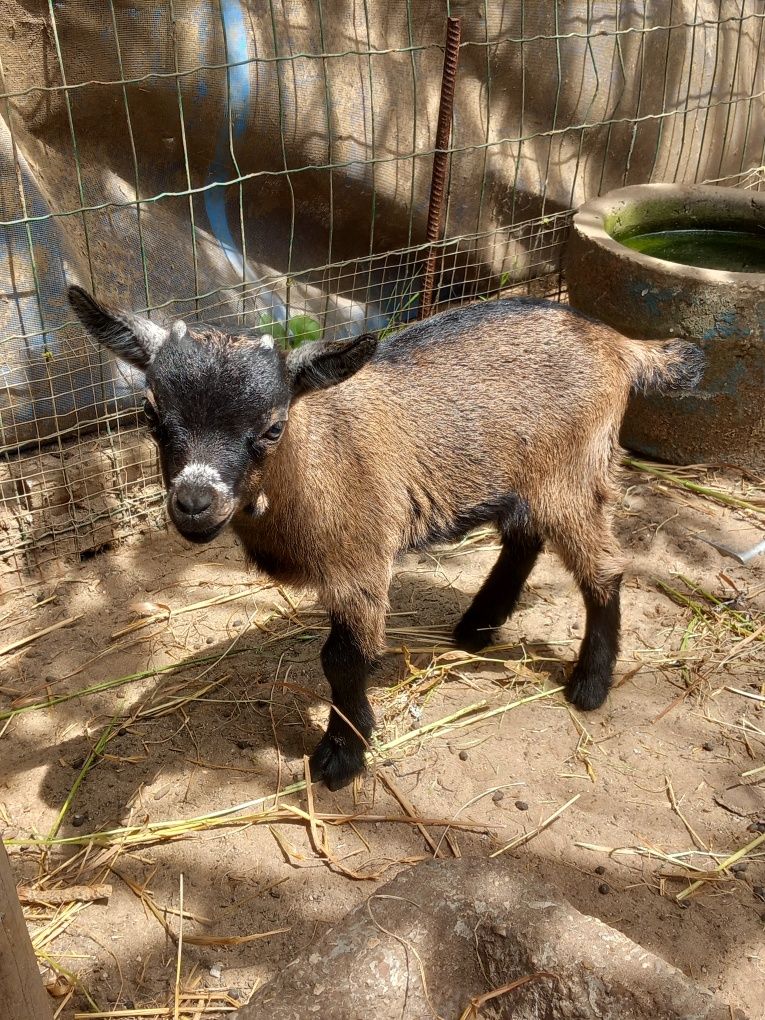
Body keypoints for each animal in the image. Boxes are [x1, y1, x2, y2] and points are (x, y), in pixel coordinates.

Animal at [68, 287, 705, 787]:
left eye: (273, 427)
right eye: (152, 417)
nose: (195, 503)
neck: (313, 459)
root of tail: (619, 344)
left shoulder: (361, 562)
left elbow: (344, 660)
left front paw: (340, 760)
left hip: (573, 471)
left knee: (603, 568)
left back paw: (589, 686)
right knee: (525, 539)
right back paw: (477, 627)